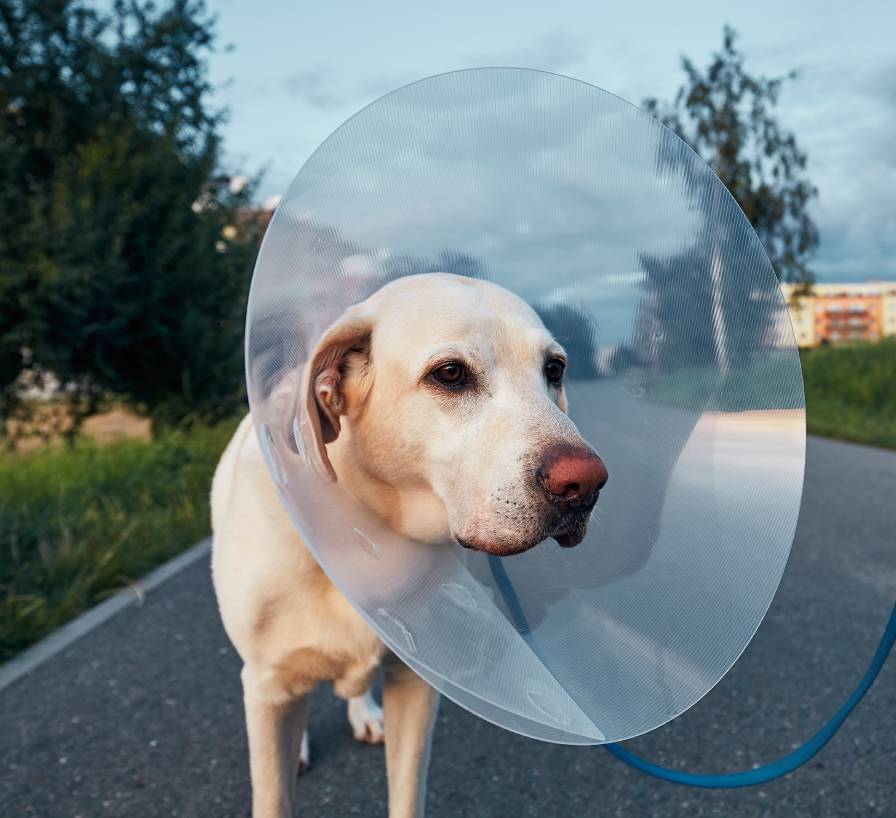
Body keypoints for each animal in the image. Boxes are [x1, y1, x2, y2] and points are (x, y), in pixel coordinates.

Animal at [212, 274, 608, 816]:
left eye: (554, 370)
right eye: (450, 373)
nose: (585, 484)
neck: (364, 539)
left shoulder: (417, 683)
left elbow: (406, 791)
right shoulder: (268, 684)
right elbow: (272, 792)